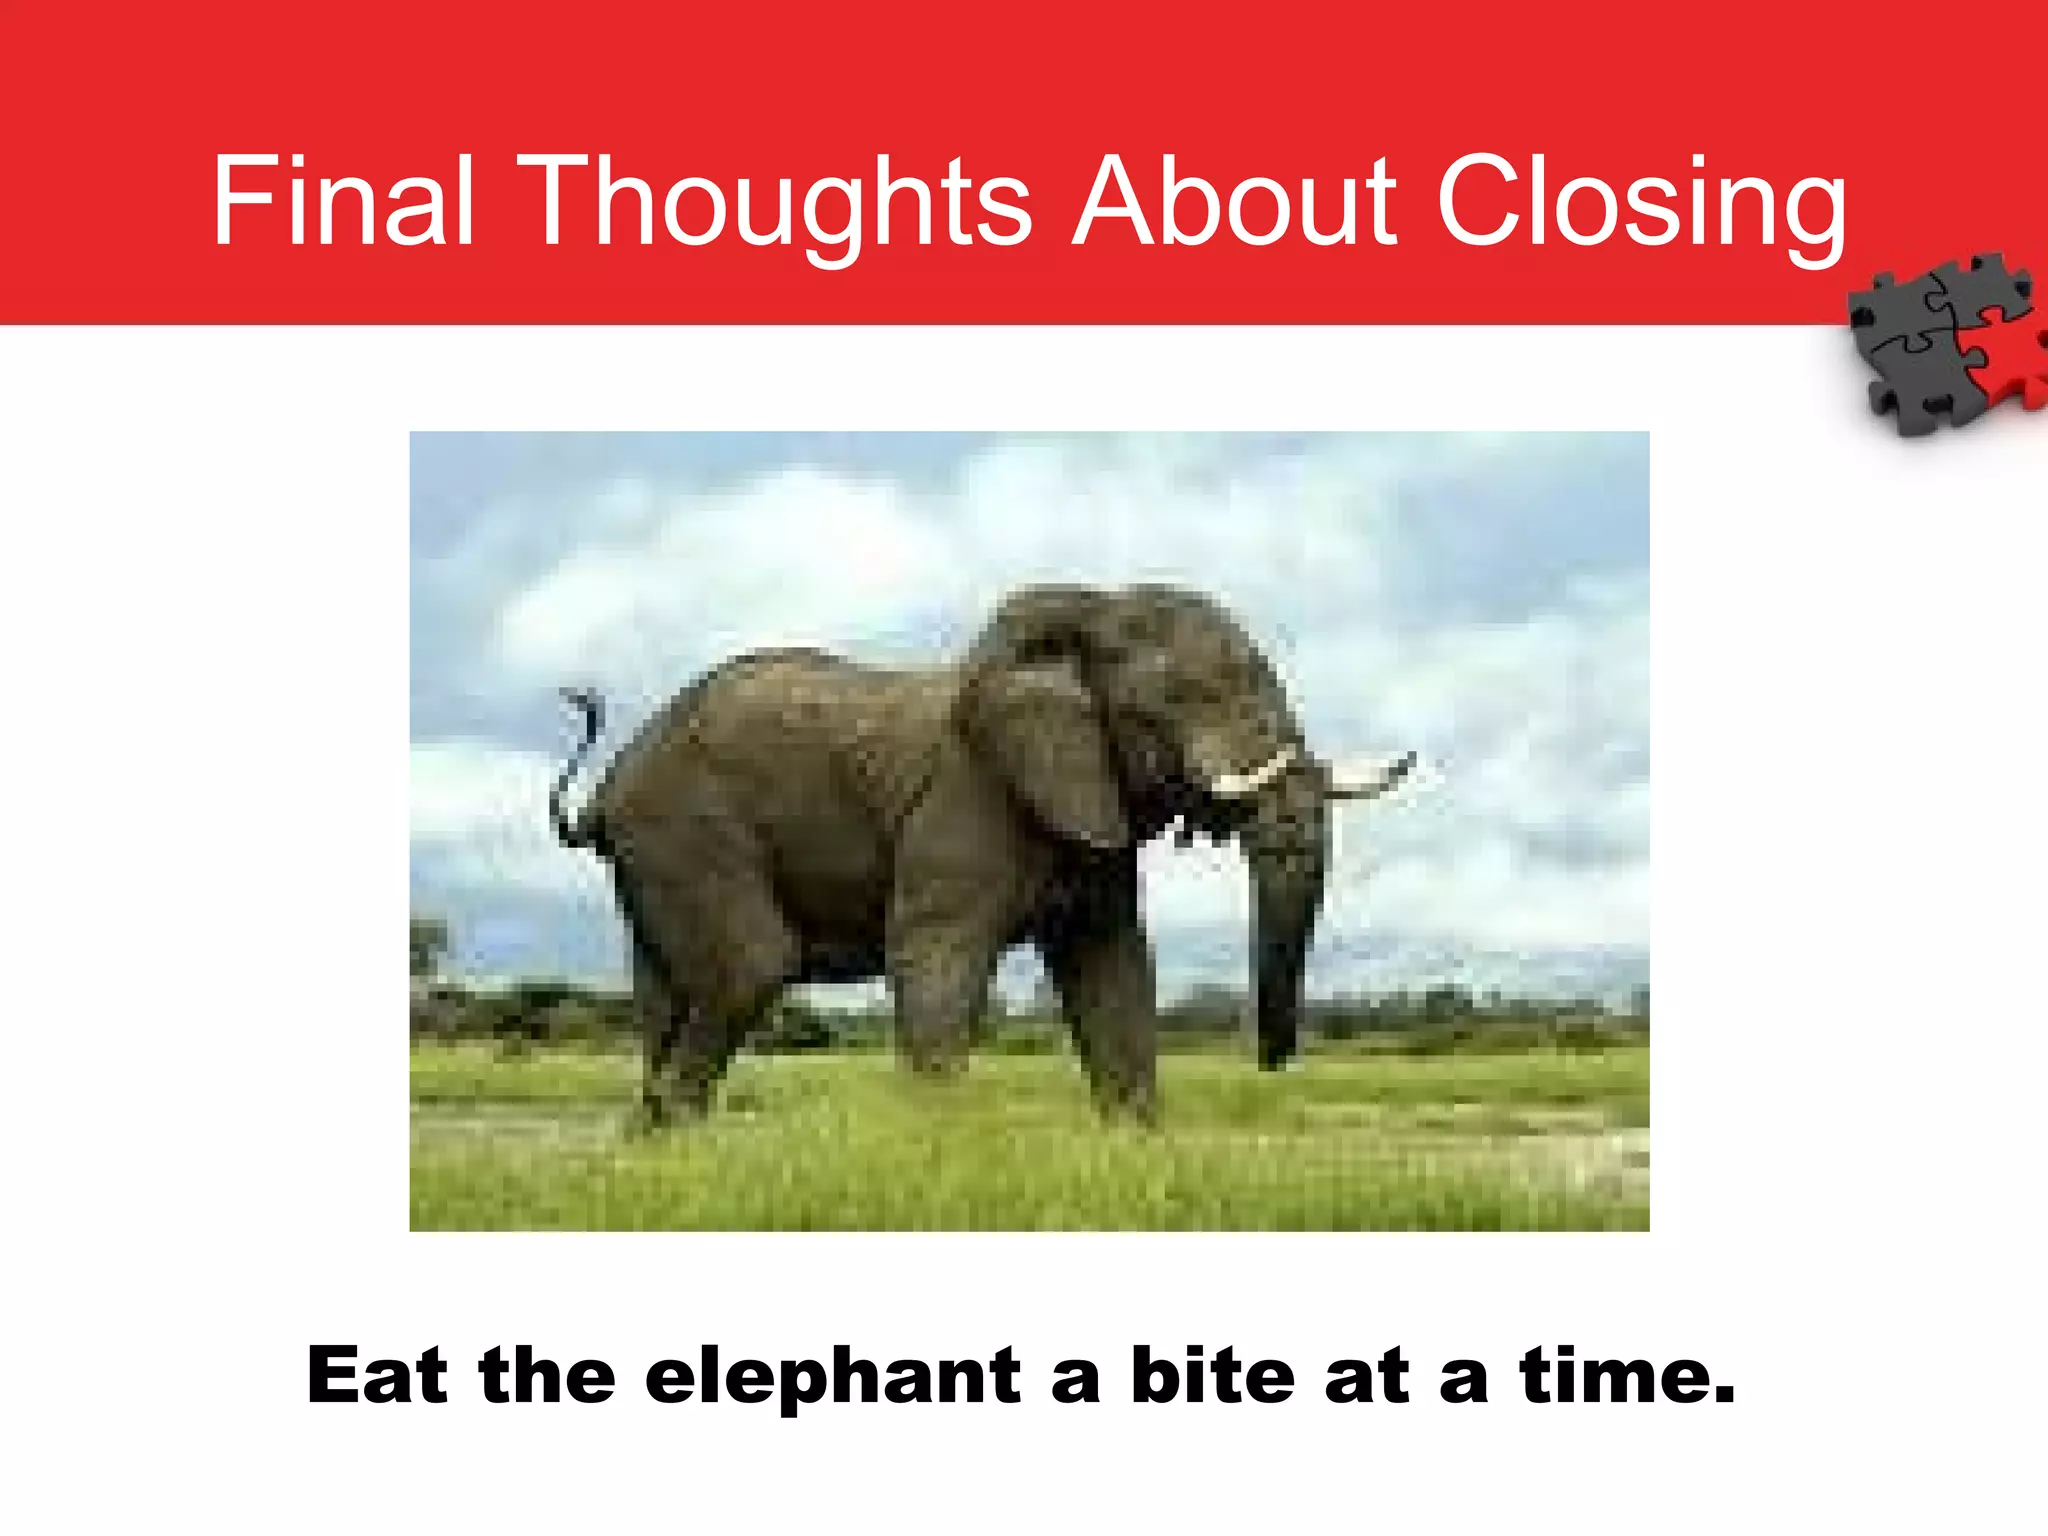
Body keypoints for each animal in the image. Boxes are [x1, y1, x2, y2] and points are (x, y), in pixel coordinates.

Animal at [548, 583, 1415, 1123]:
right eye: (1177, 702)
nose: (1271, 1060)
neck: (1090, 610)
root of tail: (611, 781)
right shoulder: (964, 802)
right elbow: (935, 960)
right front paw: (933, 1155)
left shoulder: (1088, 806)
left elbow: (1113, 968)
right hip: (687, 830)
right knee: (752, 967)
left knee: (667, 999)